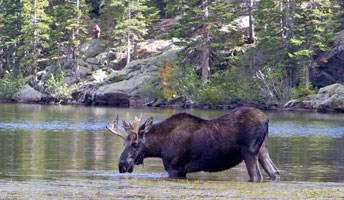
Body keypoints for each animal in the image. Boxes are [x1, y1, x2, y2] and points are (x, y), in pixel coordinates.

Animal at [107, 107, 280, 182]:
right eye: (124, 143)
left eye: (135, 143)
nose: (122, 165)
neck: (160, 147)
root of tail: (267, 120)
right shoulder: (182, 171)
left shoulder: (175, 168)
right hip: (263, 151)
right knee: (275, 173)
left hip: (249, 152)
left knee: (257, 176)